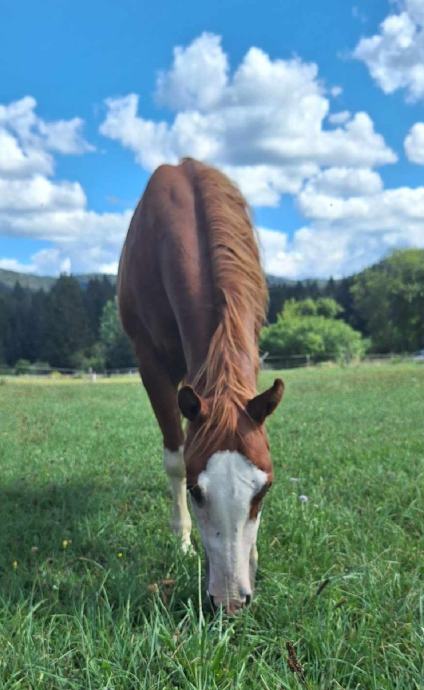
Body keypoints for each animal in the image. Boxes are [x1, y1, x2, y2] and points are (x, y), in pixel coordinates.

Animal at [118, 158, 284, 613]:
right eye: (196, 492)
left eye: (263, 490)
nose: (231, 601)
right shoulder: (151, 366)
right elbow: (176, 457)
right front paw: (183, 542)